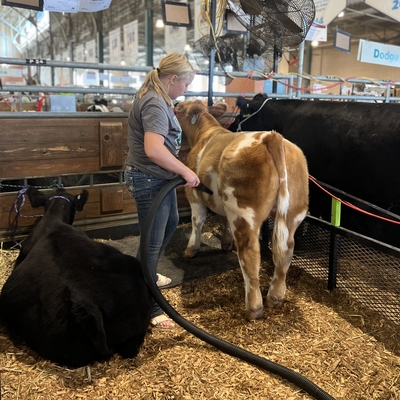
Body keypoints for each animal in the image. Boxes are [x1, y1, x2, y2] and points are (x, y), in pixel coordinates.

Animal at [175, 101, 310, 322]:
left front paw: (191, 249)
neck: (205, 132)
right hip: (294, 213)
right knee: (285, 251)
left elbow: (197, 221)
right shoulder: (220, 201)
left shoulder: (193, 193)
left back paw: (253, 308)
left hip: (243, 214)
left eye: (181, 108)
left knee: (250, 255)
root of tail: (271, 136)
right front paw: (225, 243)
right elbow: (222, 220)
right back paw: (275, 297)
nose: (176, 102)